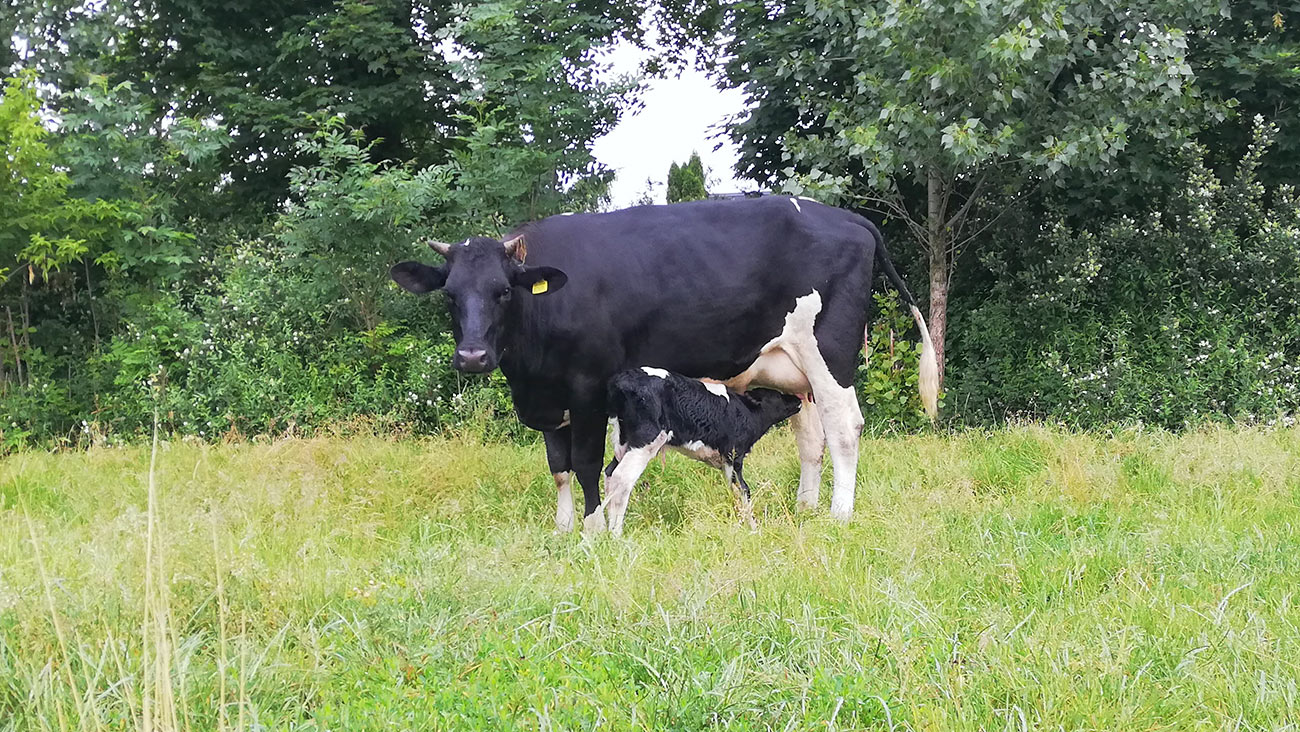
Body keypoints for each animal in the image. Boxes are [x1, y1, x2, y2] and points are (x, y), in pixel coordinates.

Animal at [595, 369, 800, 535]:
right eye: (778, 395)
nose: (798, 399)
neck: (745, 412)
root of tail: (621, 380)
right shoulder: (734, 456)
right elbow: (744, 489)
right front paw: (753, 529)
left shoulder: (724, 461)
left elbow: (734, 490)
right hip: (646, 440)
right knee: (622, 476)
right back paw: (616, 533)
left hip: (623, 442)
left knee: (610, 472)